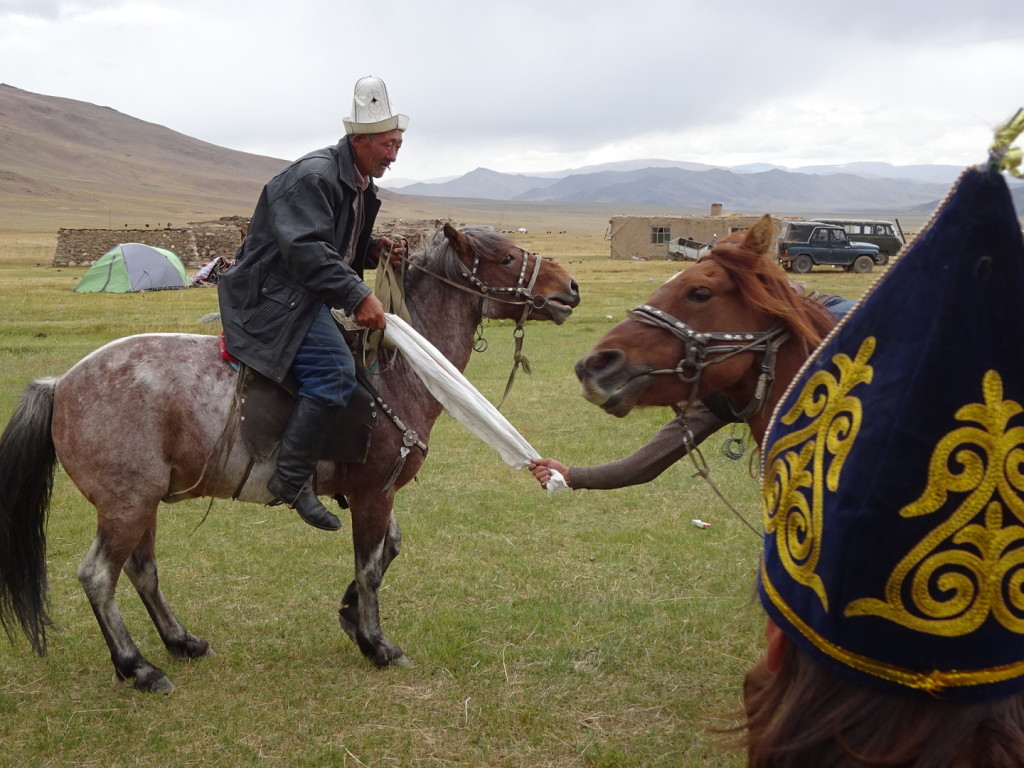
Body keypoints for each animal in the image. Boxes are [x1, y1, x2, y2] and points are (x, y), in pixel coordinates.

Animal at [0, 225, 577, 696]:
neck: (397, 368)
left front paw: (350, 618)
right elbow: (370, 567)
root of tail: (61, 383)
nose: (570, 288)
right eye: (505, 257)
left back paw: (182, 642)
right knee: (101, 576)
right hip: (126, 504)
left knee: (143, 572)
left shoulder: (377, 495)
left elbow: (388, 550)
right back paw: (137, 666)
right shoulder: (373, 492)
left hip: (143, 502)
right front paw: (376, 644)